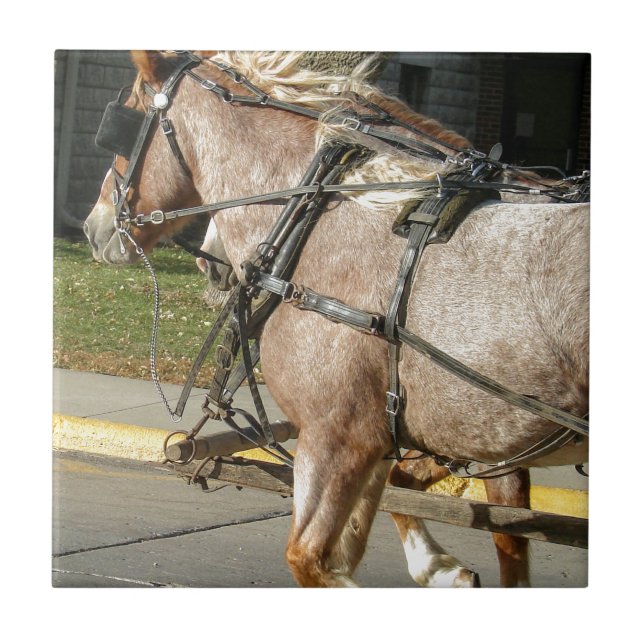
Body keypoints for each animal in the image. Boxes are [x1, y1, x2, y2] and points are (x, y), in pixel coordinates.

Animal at [84, 50, 589, 588]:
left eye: (123, 123)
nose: (93, 228)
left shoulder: (339, 435)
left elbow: (310, 558)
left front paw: (434, 566)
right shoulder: (431, 440)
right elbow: (484, 532)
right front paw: (440, 568)